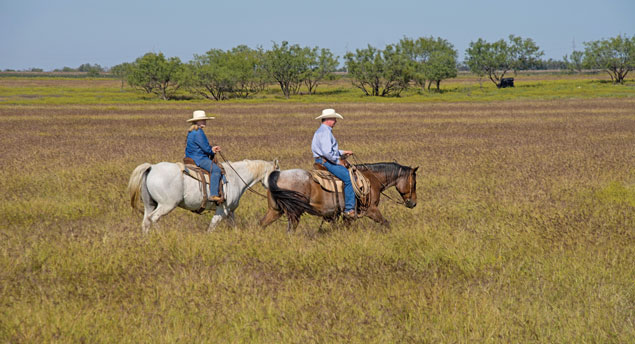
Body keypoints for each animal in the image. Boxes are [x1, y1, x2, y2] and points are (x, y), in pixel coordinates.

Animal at [129, 160, 278, 232]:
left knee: (146, 221)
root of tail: (151, 167)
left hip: (150, 204)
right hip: (166, 205)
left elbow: (233, 225)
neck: (235, 177)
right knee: (154, 218)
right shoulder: (222, 210)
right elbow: (212, 225)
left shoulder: (230, 211)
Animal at [260, 162, 420, 232]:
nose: (413, 203)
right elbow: (386, 223)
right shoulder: (371, 210)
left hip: (275, 210)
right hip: (294, 212)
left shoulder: (346, 215)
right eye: (414, 183)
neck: (371, 179)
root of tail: (277, 175)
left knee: (262, 224)